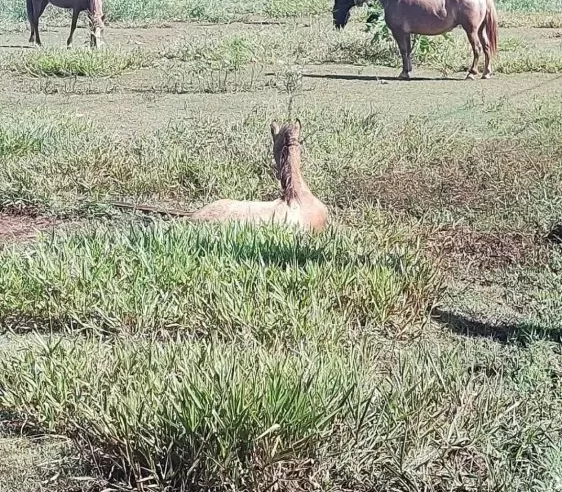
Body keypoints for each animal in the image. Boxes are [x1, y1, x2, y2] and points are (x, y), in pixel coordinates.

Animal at [330, 0, 496, 80]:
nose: (336, 19)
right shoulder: (407, 33)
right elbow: (408, 52)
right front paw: (408, 71)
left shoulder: (399, 32)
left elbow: (403, 51)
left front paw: (404, 73)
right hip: (480, 30)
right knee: (486, 48)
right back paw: (486, 73)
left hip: (471, 30)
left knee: (477, 49)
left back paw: (471, 74)